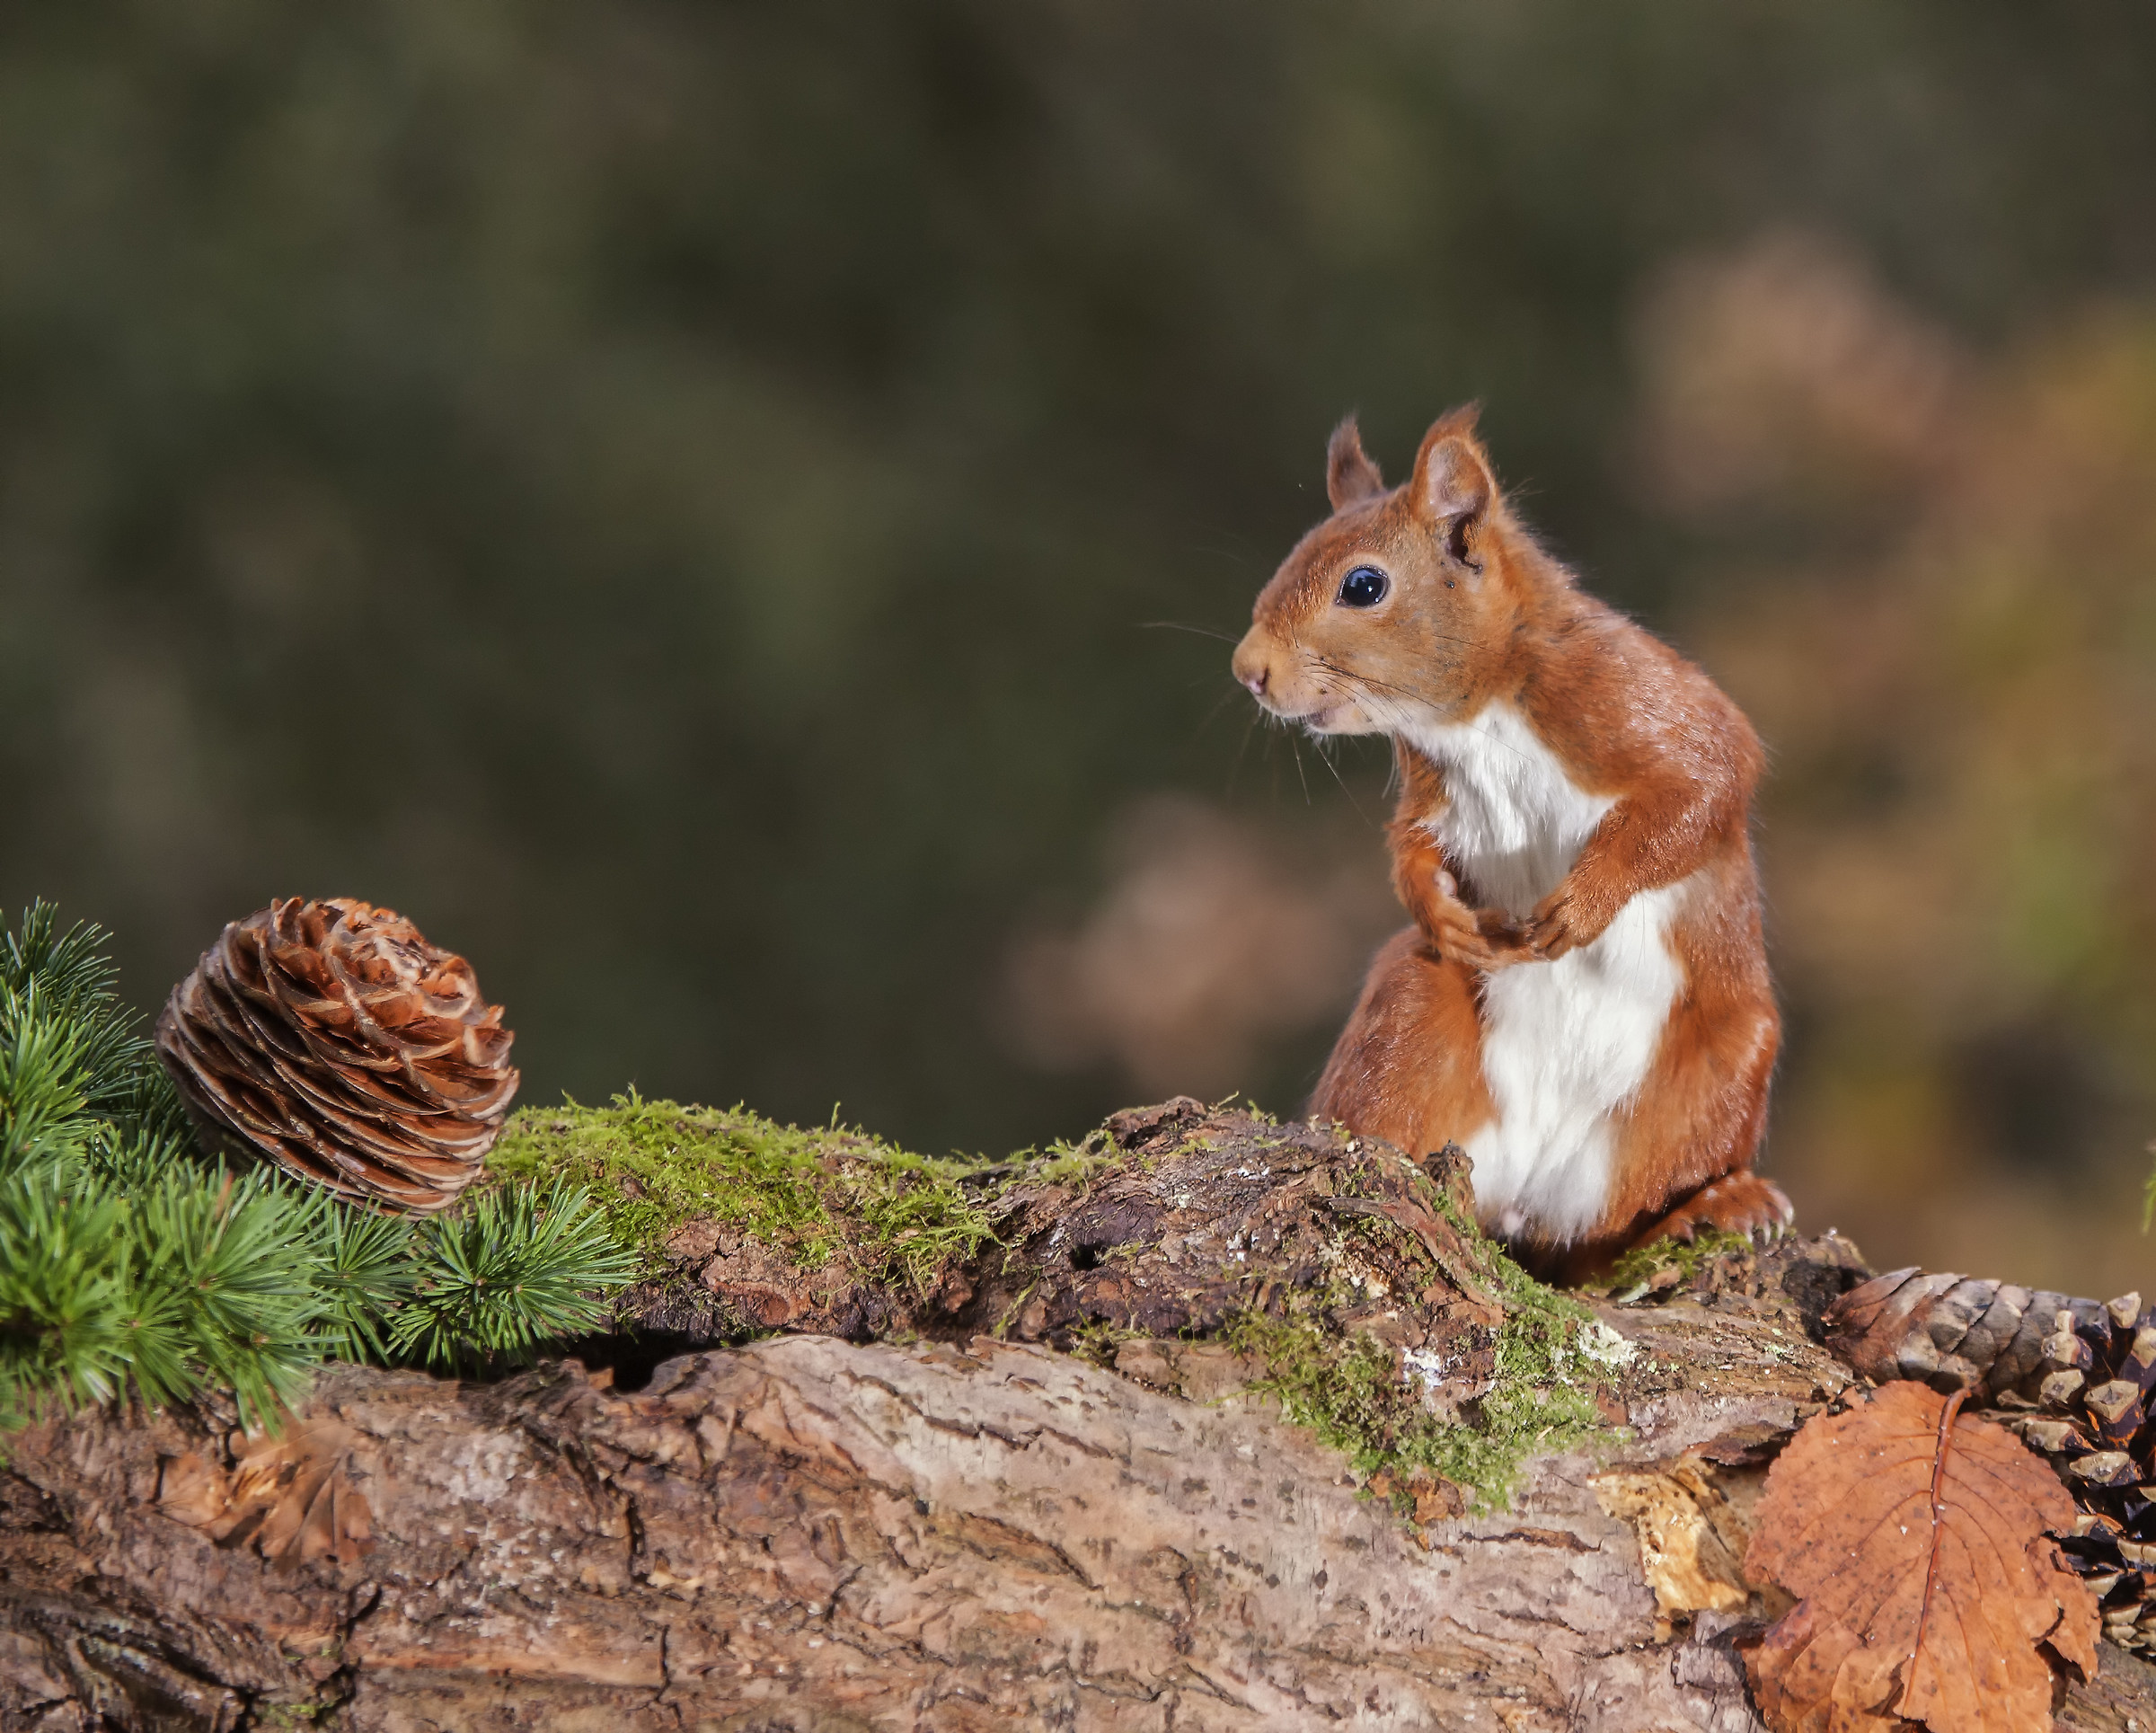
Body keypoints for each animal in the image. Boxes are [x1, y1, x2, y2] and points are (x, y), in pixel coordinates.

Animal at [1231, 406, 1790, 1281]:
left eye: (1364, 586)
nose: (1247, 669)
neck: (1475, 717)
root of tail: (1530, 1185)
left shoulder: (1644, 698)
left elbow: (1702, 788)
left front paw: (1584, 904)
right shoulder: (1429, 796)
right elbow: (1409, 848)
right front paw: (1439, 907)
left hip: (1719, 1071)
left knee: (1608, 1241)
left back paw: (1715, 1204)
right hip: (1413, 1011)